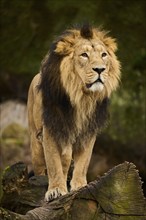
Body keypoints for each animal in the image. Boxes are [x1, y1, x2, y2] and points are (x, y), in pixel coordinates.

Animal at [27, 24, 121, 201]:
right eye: (84, 55)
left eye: (103, 55)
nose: (100, 69)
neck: (82, 96)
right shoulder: (51, 129)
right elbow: (54, 163)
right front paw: (56, 190)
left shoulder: (88, 131)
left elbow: (83, 162)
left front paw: (80, 186)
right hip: (35, 143)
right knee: (42, 167)